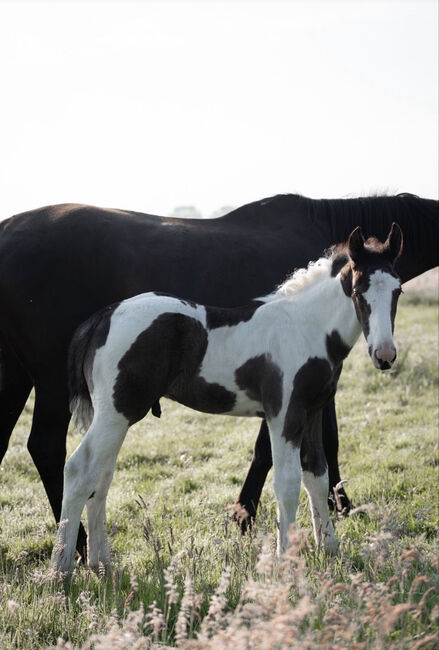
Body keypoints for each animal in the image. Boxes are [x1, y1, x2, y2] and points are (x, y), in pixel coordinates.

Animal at [0, 189, 438, 556]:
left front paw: (329, 550)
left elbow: (316, 473)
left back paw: (100, 564)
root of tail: (103, 317)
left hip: (96, 406)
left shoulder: (312, 409)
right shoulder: (284, 412)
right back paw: (67, 563)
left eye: (398, 290)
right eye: (359, 289)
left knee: (97, 476)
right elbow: (285, 479)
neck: (302, 323)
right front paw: (281, 553)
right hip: (101, 405)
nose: (384, 355)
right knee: (72, 465)